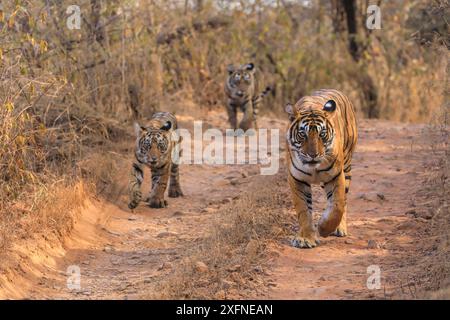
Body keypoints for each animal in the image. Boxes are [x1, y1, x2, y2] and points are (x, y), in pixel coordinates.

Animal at [284, 89, 358, 249]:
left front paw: (324, 228)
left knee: (344, 201)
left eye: (322, 134)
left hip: (347, 166)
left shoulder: (336, 175)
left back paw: (339, 229)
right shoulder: (297, 179)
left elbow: (337, 207)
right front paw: (305, 238)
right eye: (302, 134)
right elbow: (303, 209)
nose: (313, 155)